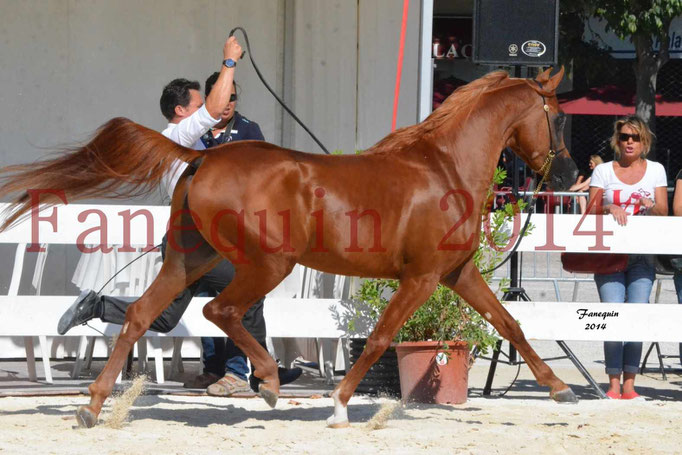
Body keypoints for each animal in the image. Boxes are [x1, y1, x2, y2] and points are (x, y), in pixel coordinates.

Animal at [0, 67, 572, 428]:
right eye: (559, 116)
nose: (566, 175)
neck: (443, 167)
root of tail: (203, 155)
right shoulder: (423, 277)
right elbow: (381, 337)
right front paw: (338, 406)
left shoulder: (458, 273)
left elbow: (510, 324)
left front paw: (558, 388)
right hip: (267, 264)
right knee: (221, 310)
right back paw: (271, 381)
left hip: (190, 258)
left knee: (142, 314)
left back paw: (93, 406)